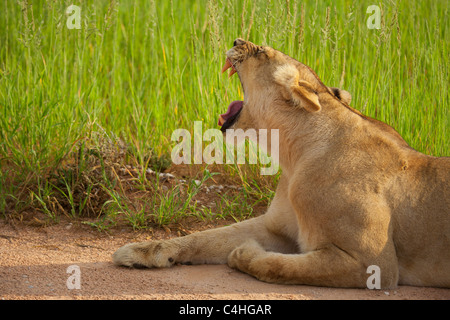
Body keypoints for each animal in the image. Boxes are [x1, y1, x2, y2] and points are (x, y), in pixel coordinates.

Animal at [113, 38, 450, 288]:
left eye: (261, 51)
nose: (236, 40)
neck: (292, 155)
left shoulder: (375, 264)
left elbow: (280, 266)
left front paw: (244, 253)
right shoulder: (275, 228)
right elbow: (206, 236)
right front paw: (143, 251)